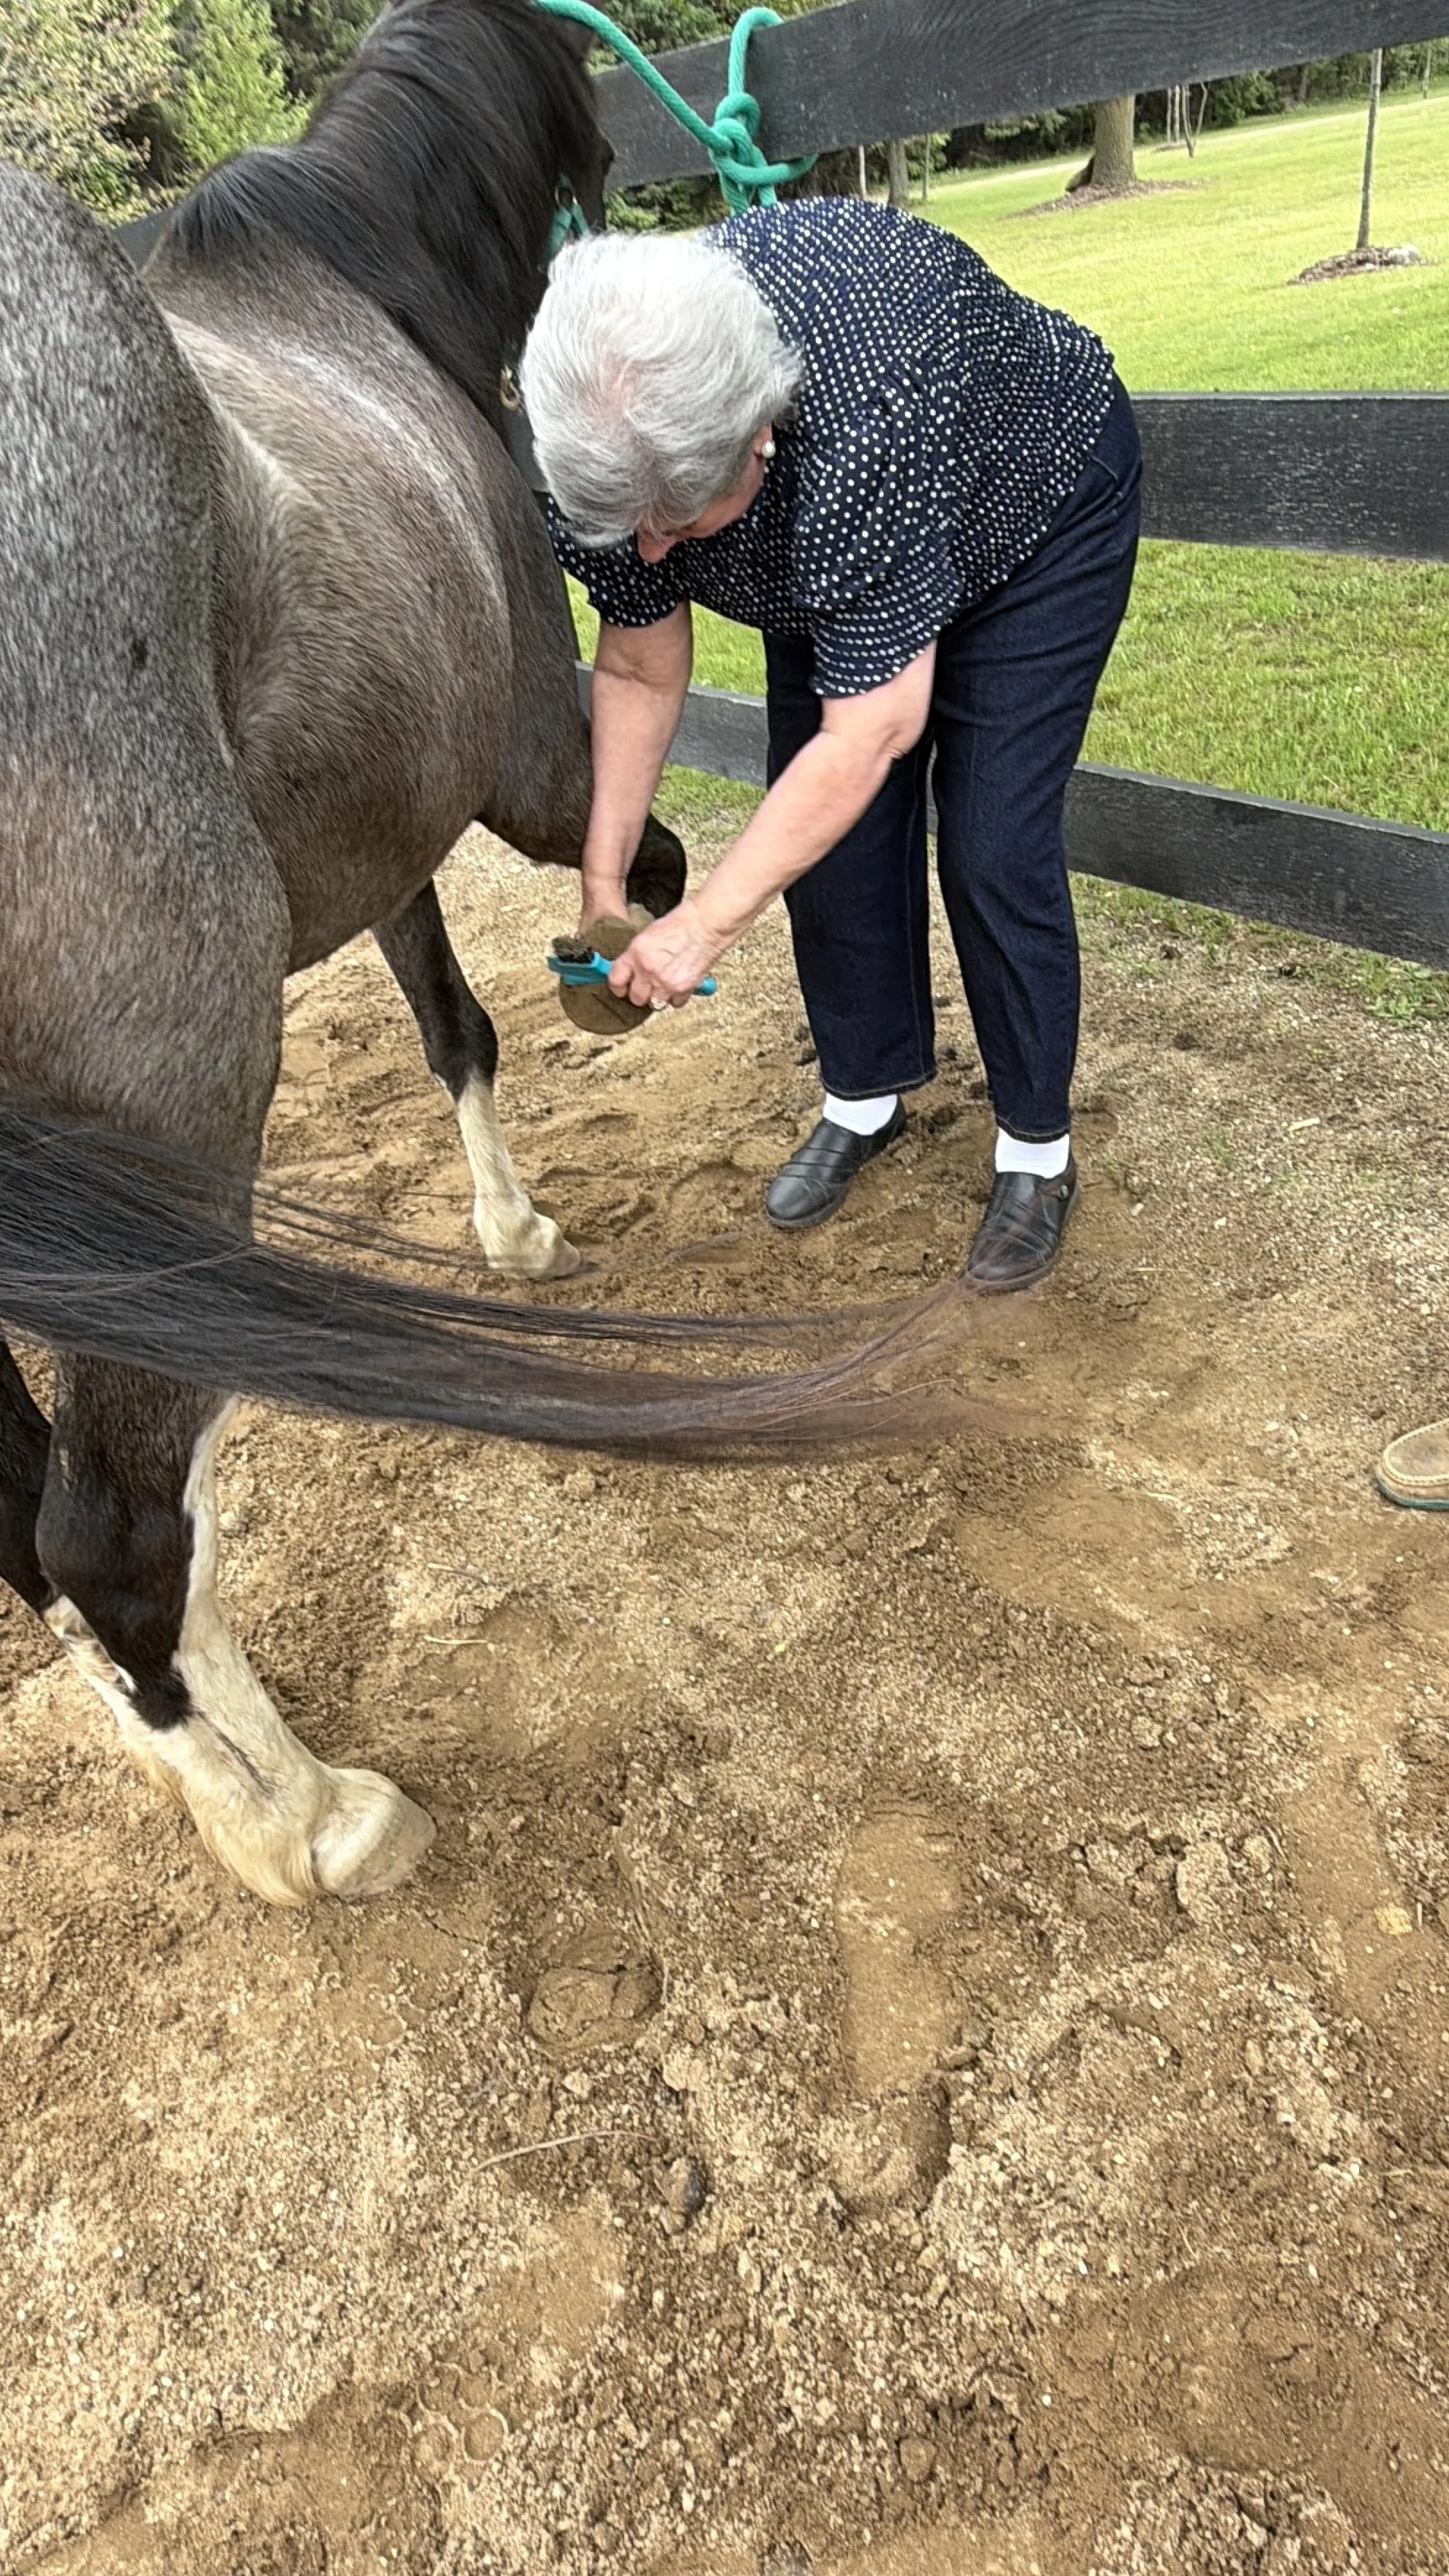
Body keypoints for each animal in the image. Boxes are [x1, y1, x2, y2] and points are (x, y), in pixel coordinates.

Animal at [2, 0, 933, 1915]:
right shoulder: (520, 763)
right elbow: (638, 861)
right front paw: (633, 980)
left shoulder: (384, 824)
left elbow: (452, 1023)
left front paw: (512, 1222)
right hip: (172, 1093)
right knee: (113, 1537)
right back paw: (308, 1820)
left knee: (26, 1533)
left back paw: (205, 1776)